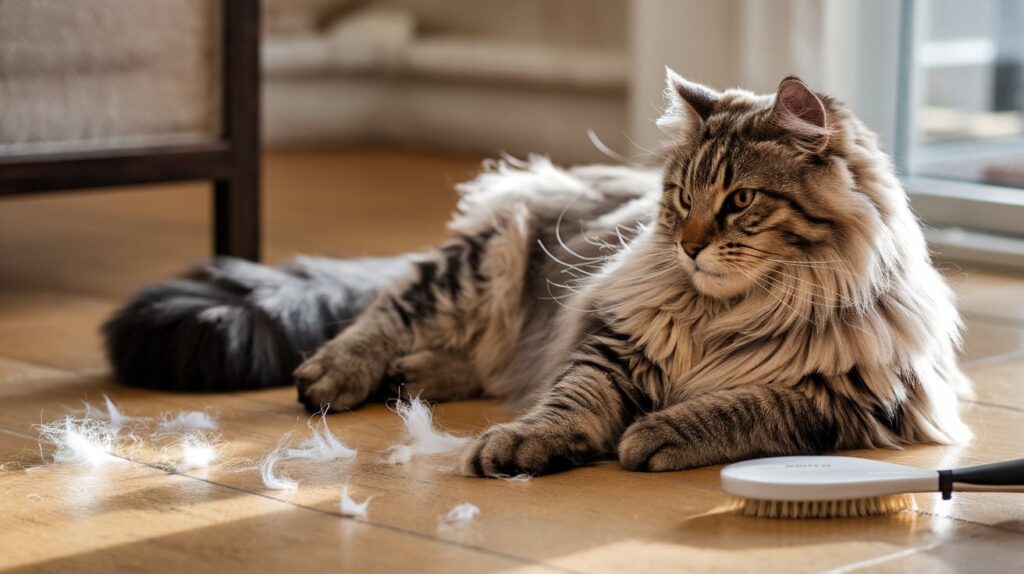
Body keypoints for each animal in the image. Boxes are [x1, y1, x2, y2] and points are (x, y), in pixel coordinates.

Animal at [108, 70, 970, 474]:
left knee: (474, 361)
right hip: (480, 260)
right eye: (682, 199)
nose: (688, 246)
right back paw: (341, 374)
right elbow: (569, 402)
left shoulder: (855, 399)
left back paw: (414, 378)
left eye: (740, 203)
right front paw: (529, 444)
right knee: (389, 312)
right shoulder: (610, 342)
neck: (736, 314)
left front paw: (659, 431)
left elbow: (750, 406)